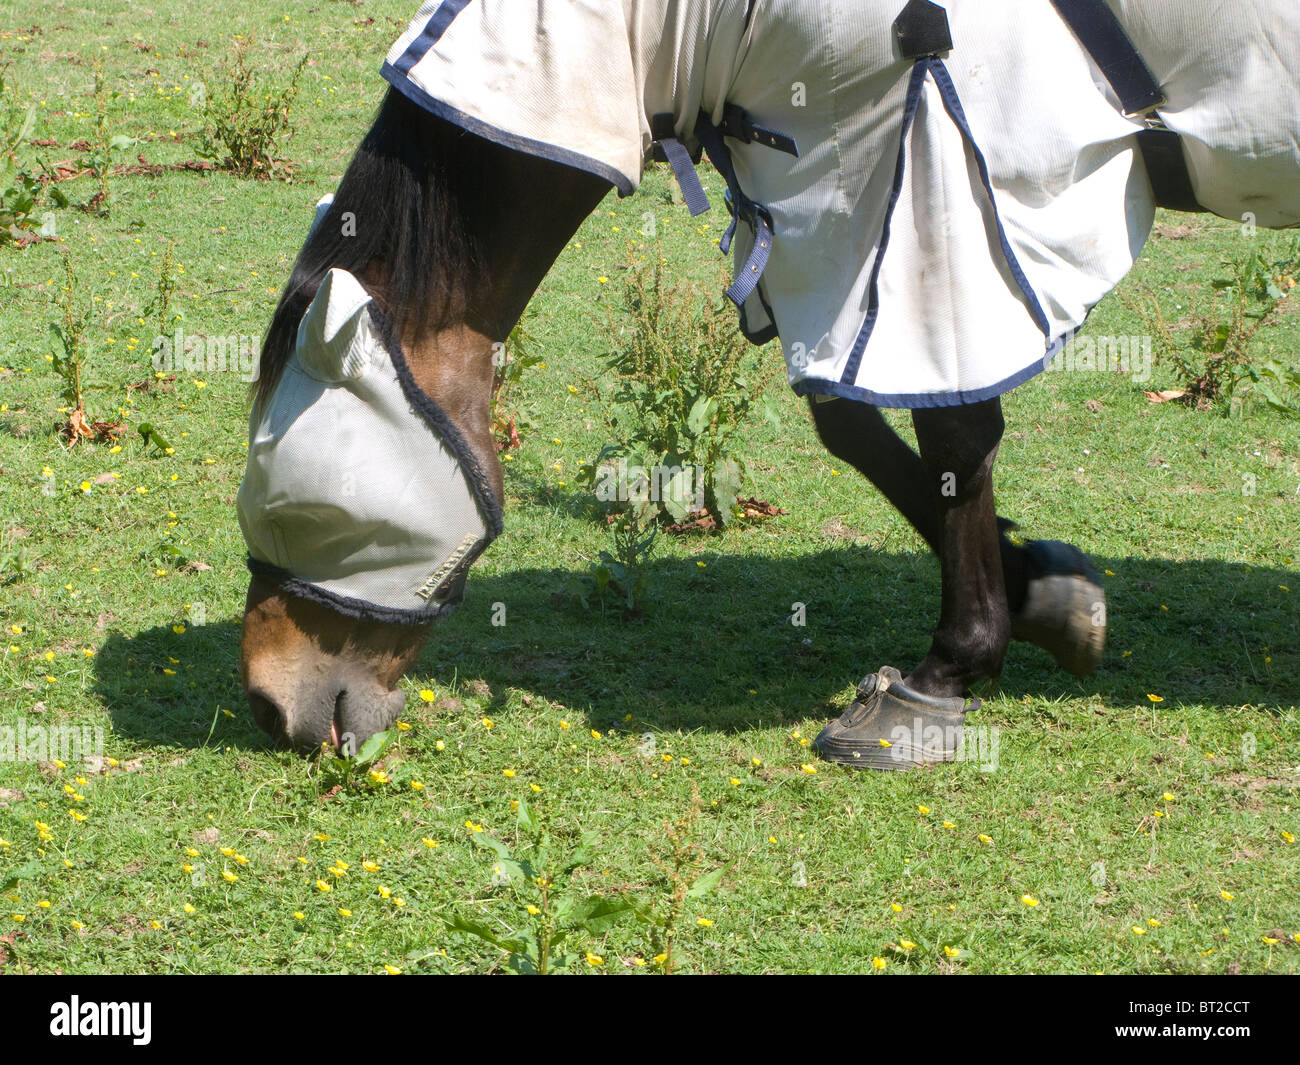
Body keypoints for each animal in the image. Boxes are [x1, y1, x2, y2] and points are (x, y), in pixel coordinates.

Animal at [236, 0, 1300, 767]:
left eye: (300, 512)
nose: (266, 703)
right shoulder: (835, 203)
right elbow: (850, 421)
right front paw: (1043, 592)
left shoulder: (928, 171)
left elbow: (952, 428)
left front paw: (945, 672)